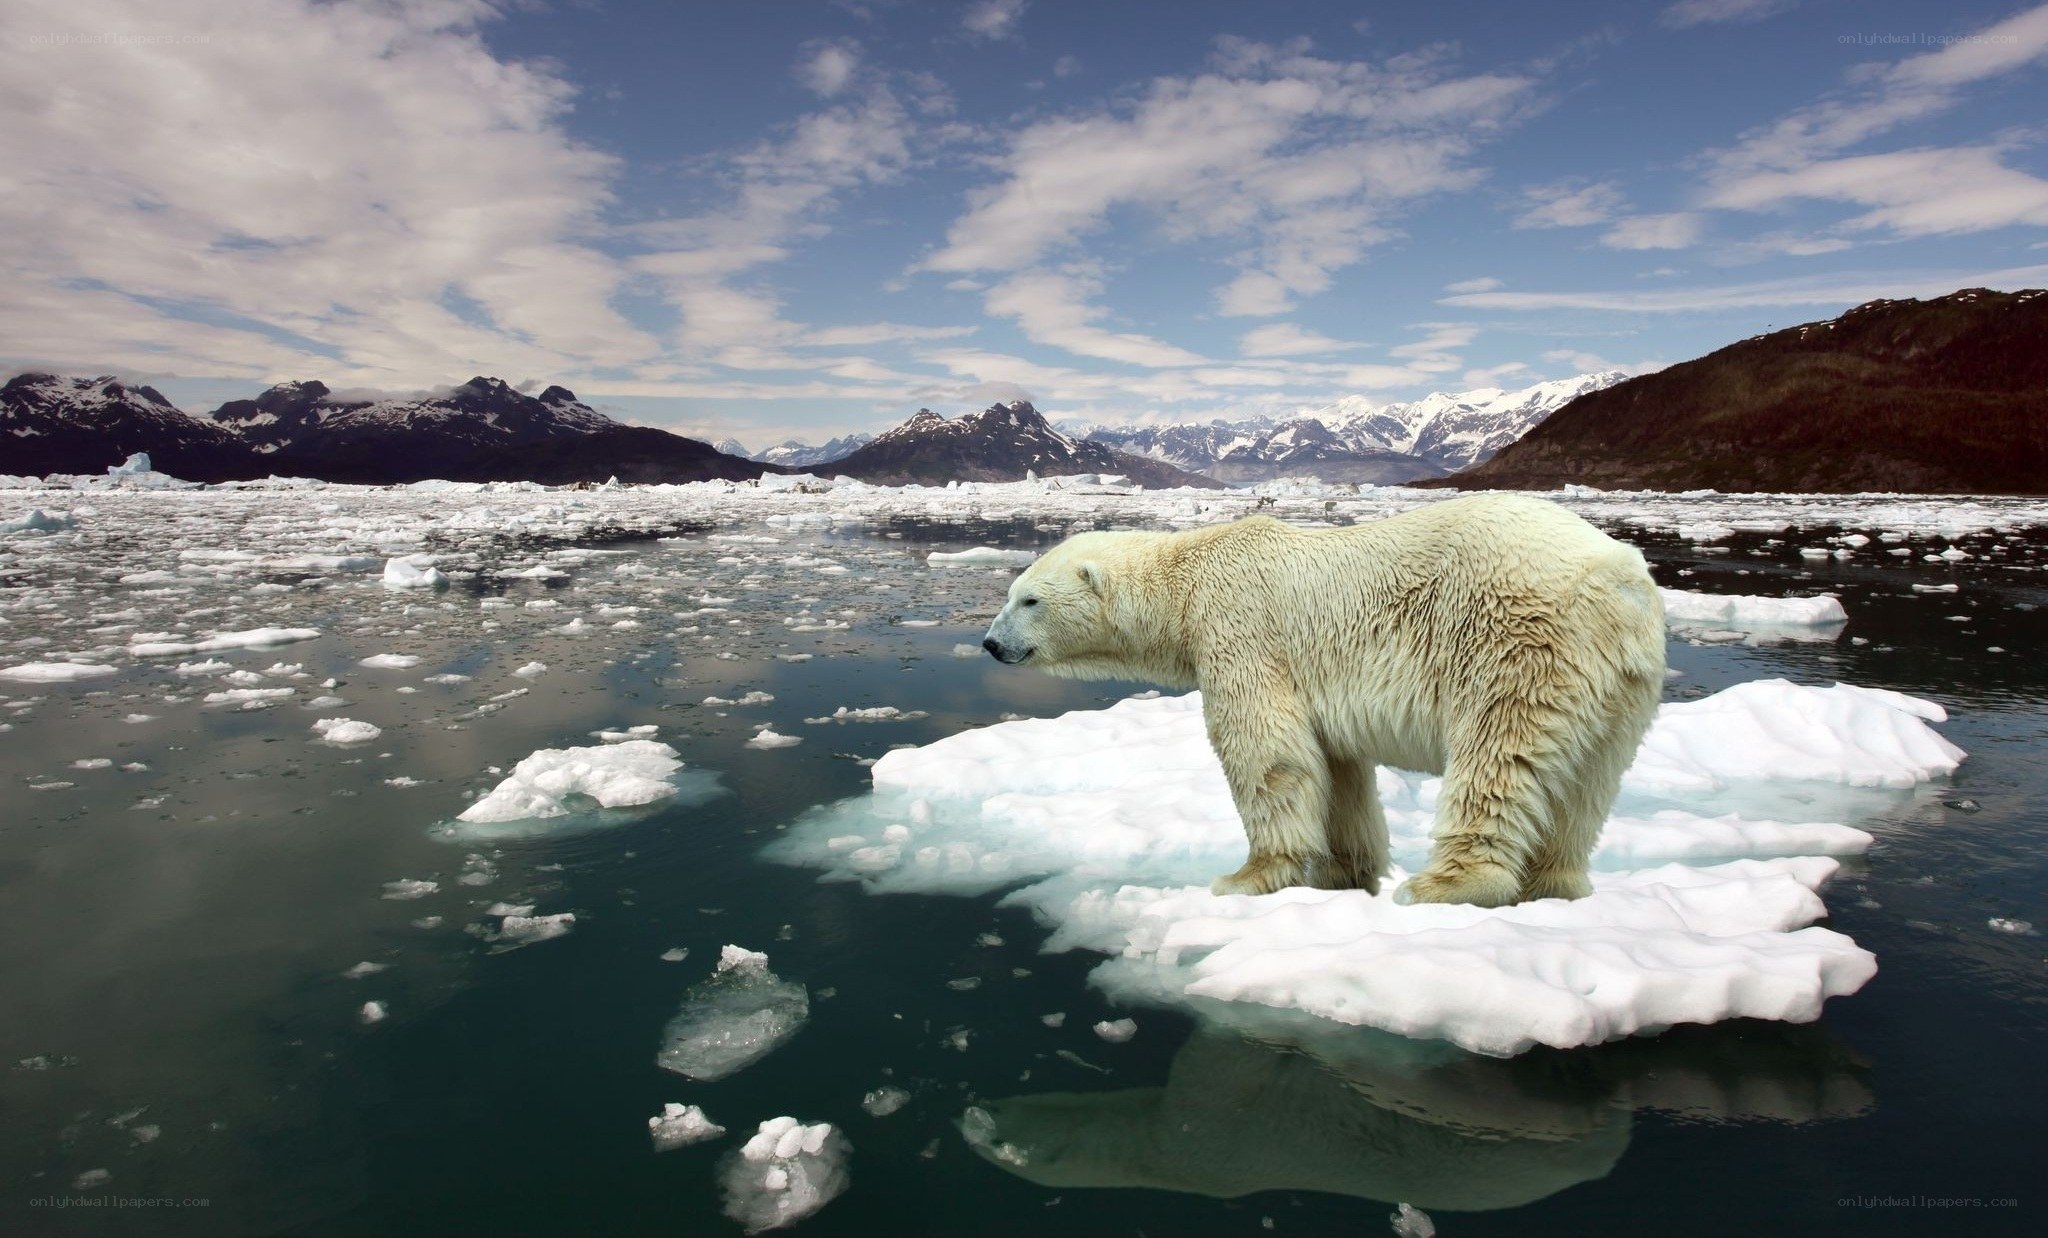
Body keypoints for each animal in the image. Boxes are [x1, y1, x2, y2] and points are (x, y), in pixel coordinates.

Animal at [980, 493, 1666, 907]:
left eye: (1028, 600)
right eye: (1011, 593)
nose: (989, 643)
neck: (1187, 578)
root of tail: (1619, 578)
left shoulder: (1241, 630)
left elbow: (1267, 752)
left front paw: (1247, 877)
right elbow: (1338, 771)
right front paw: (1345, 873)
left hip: (1518, 640)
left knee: (1498, 753)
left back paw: (1445, 885)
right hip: (1622, 684)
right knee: (1587, 784)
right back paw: (1554, 885)